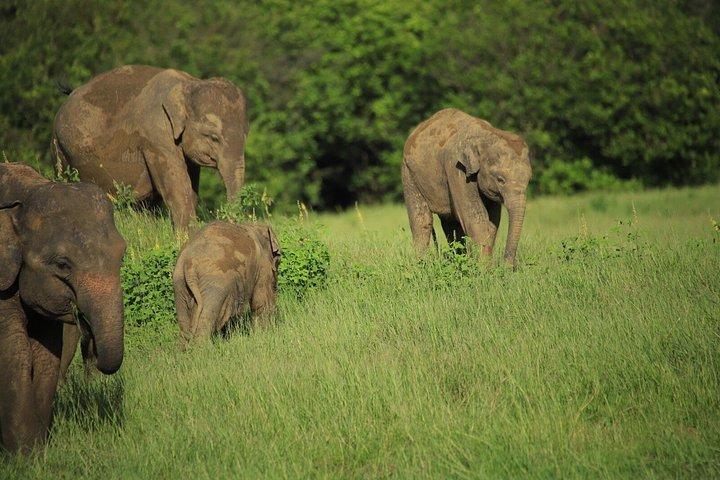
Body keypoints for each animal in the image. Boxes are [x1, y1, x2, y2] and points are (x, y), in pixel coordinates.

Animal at [0, 163, 126, 453]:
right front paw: (24, 455)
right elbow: (15, 353)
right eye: (61, 265)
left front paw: (38, 450)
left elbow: (47, 357)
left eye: (122, 255)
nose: (92, 343)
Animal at [52, 65, 249, 231]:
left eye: (246, 135)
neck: (188, 84)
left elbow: (190, 187)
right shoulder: (156, 135)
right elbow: (178, 187)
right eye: (214, 138)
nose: (229, 223)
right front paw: (188, 235)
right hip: (58, 146)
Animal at [402, 108, 532, 266]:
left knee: (450, 224)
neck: (485, 134)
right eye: (500, 180)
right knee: (422, 221)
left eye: (529, 179)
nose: (507, 267)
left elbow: (493, 222)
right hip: (408, 173)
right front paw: (483, 269)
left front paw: (485, 266)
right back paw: (420, 265)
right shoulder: (456, 168)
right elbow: (476, 218)